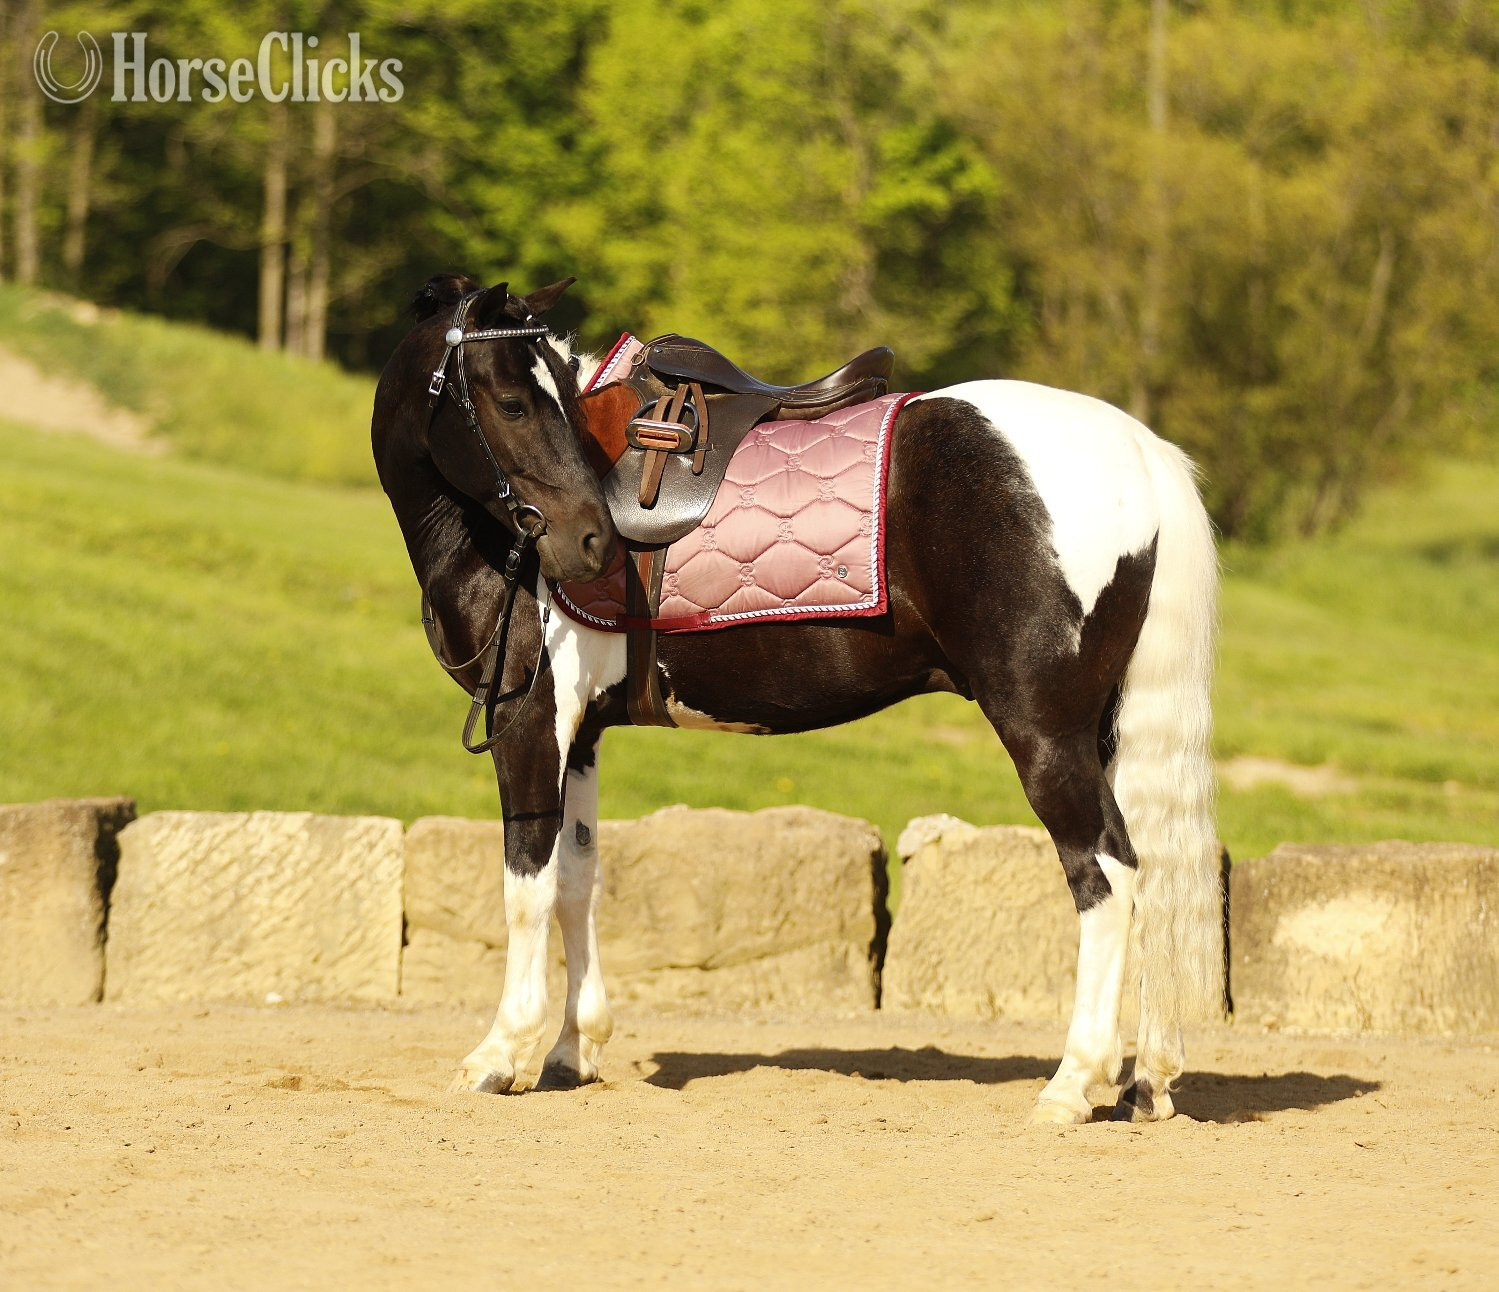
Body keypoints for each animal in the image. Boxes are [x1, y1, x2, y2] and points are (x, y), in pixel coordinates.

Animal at [371, 272, 1221, 1125]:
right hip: (1103, 729)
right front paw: (573, 1050)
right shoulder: (579, 736)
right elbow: (578, 881)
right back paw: (1149, 1080)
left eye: (537, 398)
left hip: (1043, 732)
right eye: (514, 402)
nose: (589, 543)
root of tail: (1139, 451)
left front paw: (501, 1054)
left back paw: (1072, 1081)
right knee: (1150, 868)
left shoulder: (528, 721)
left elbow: (528, 885)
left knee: (1106, 873)